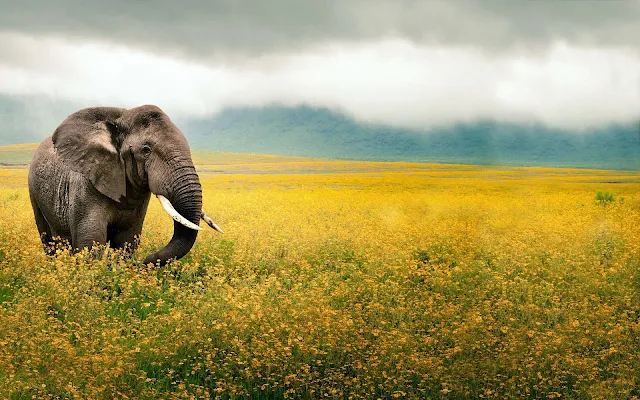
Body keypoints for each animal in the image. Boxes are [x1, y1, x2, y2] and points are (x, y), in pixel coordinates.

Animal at [27, 104, 222, 266]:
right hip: (34, 191)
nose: (144, 262)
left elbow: (126, 240)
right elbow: (91, 241)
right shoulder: (85, 184)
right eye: (146, 150)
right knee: (48, 240)